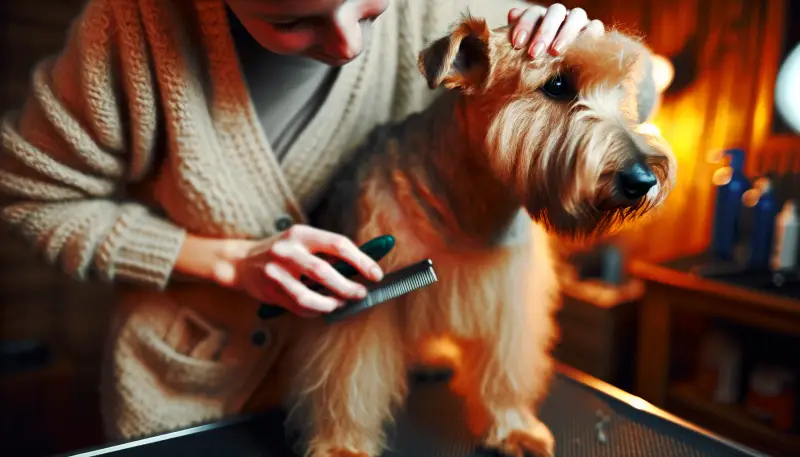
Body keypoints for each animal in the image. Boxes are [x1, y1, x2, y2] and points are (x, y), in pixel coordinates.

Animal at [282, 14, 676, 456]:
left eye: (621, 88)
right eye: (557, 85)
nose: (642, 179)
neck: (466, 200)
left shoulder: (508, 298)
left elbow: (506, 369)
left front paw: (513, 427)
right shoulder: (365, 297)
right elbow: (348, 378)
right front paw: (342, 445)